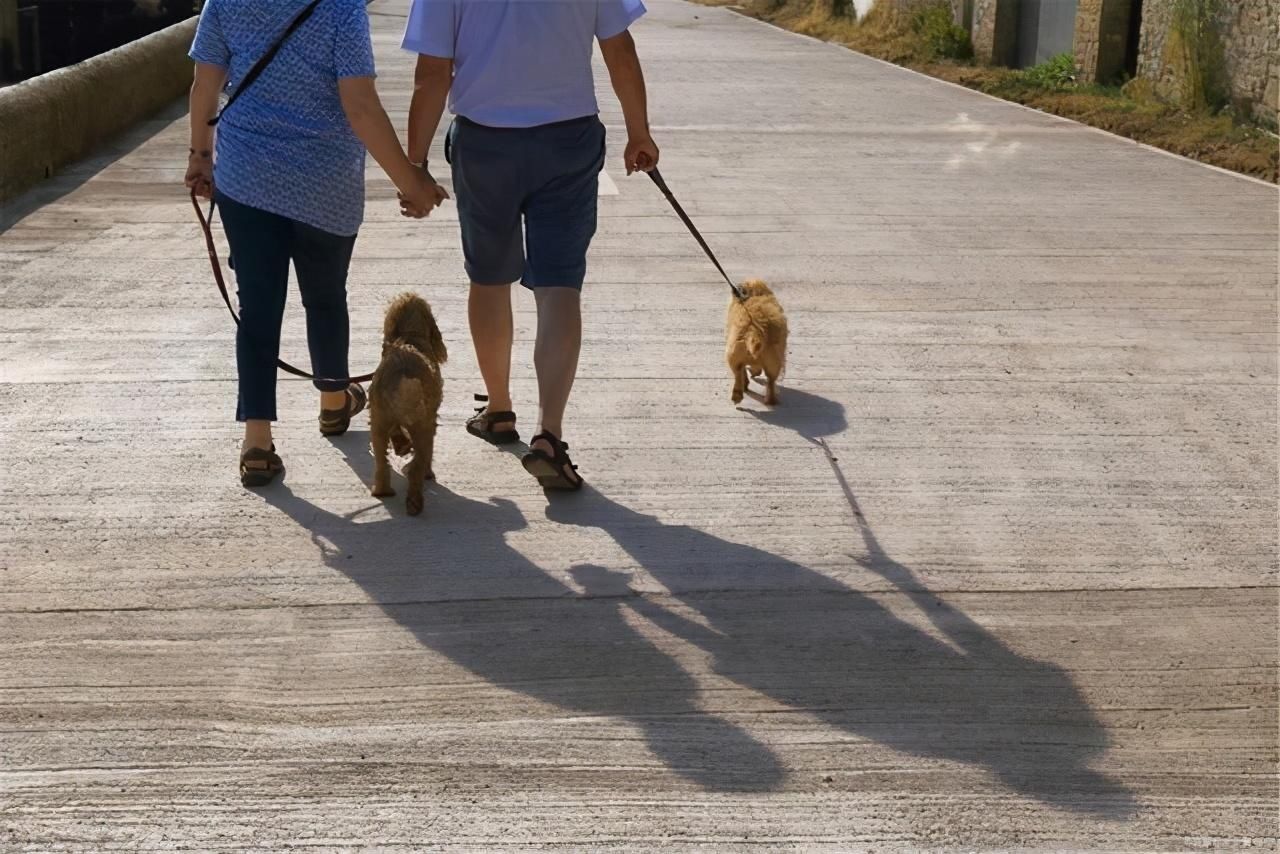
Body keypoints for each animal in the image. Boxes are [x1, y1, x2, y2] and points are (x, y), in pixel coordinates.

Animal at [368, 290, 448, 517]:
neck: (410, 336)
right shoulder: (430, 420)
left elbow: (397, 433)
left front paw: (401, 444)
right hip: (423, 428)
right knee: (417, 465)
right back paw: (415, 501)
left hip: (378, 423)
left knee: (381, 462)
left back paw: (382, 491)